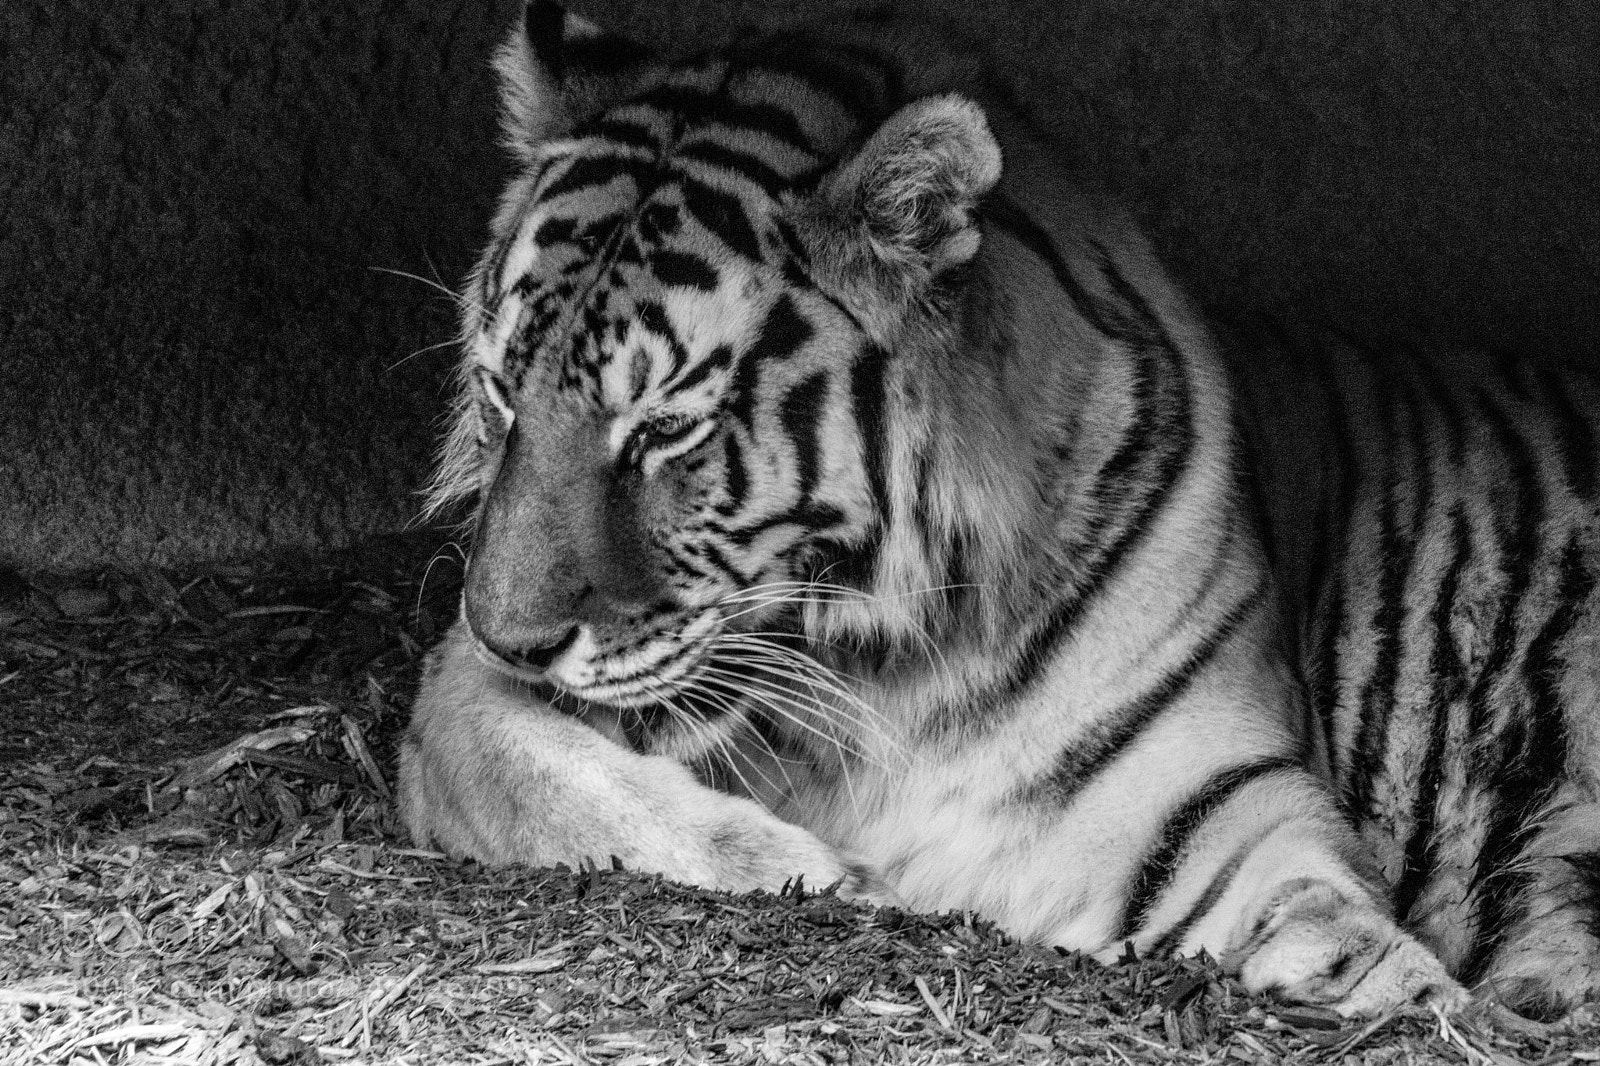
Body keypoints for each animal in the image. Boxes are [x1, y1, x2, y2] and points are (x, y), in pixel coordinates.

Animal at [397, 0, 1599, 1019]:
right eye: (503, 393)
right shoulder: (458, 693)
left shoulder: (1200, 796)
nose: (511, 638)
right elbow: (549, 782)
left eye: (664, 428)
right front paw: (831, 876)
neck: (884, 667)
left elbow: (1329, 929)